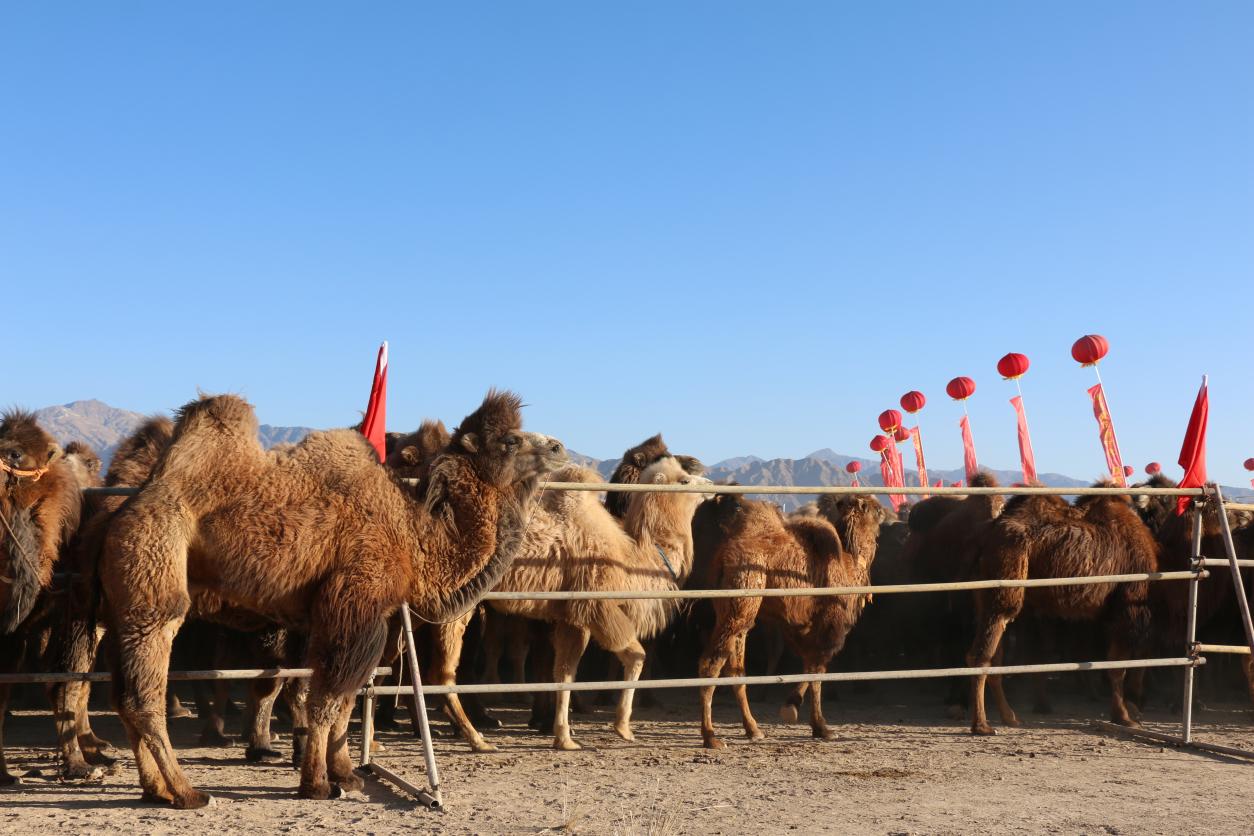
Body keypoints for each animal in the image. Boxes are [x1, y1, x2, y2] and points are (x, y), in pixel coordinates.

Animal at [100, 388, 566, 807]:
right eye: (510, 440)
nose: (560, 447)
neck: (414, 540)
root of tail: (129, 505)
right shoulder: (354, 604)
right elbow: (327, 700)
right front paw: (319, 784)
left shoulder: (356, 617)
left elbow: (345, 698)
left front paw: (345, 773)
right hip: (153, 563)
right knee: (145, 691)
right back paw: (186, 792)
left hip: (124, 598)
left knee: (123, 694)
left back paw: (155, 789)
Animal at [697, 493, 882, 747]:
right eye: (876, 509)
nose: (884, 511)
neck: (848, 561)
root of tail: (723, 559)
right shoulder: (830, 622)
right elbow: (818, 667)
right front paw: (817, 724)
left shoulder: (798, 624)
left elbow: (810, 664)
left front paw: (799, 712)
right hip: (741, 599)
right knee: (710, 664)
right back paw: (711, 736)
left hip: (737, 611)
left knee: (735, 668)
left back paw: (753, 729)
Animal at [963, 486, 1158, 736]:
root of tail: (985, 539)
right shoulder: (1127, 605)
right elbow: (1117, 667)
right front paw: (1124, 717)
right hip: (1005, 581)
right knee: (981, 654)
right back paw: (981, 724)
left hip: (985, 596)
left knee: (993, 655)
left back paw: (1009, 717)